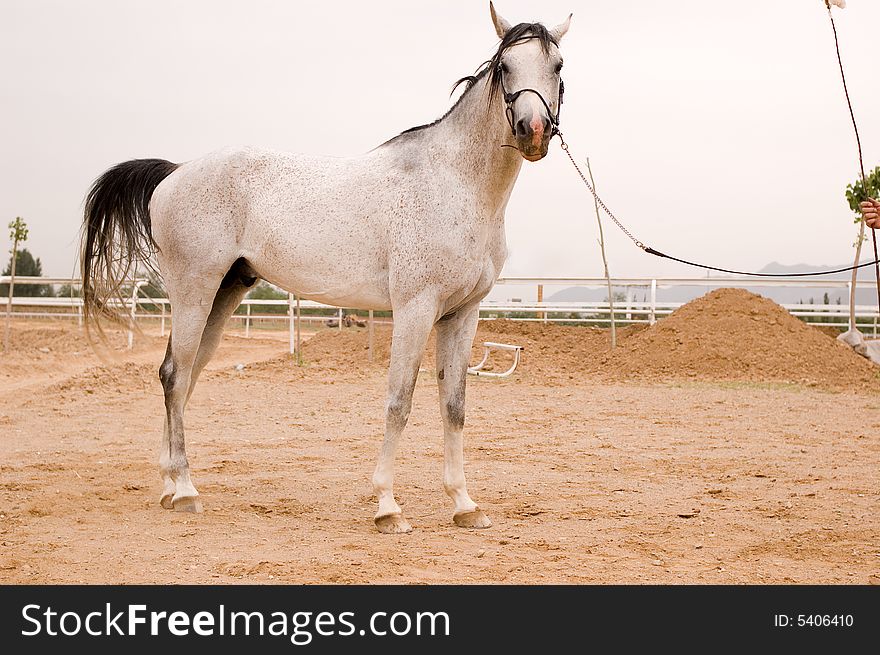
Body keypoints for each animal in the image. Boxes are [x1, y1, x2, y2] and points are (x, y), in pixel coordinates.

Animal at [81, 3, 572, 532]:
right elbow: (399, 402)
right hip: (194, 290)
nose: (532, 131)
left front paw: (464, 504)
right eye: (505, 67)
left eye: (558, 67)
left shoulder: (463, 314)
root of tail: (175, 172)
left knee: (185, 375)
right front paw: (387, 507)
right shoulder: (415, 309)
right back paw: (187, 490)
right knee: (173, 375)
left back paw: (170, 486)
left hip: (224, 294)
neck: (454, 183)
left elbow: (454, 406)